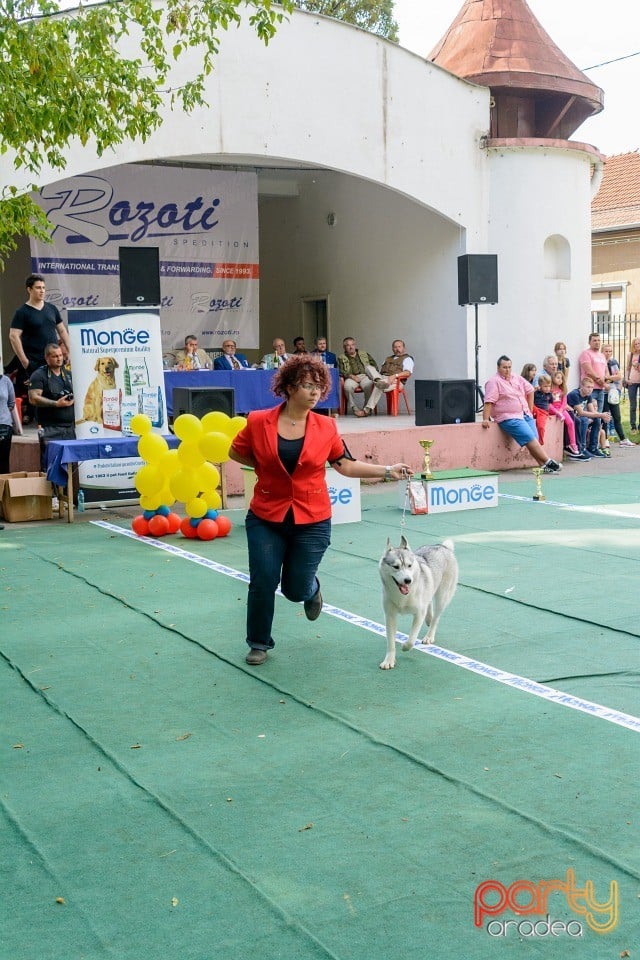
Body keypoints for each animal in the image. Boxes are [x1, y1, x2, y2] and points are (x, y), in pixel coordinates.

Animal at [378, 536, 458, 672]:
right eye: (396, 567)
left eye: (409, 565)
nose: (408, 580)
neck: (403, 597)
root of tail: (443, 547)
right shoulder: (390, 615)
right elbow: (390, 642)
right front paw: (389, 661)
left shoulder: (419, 614)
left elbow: (412, 639)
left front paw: (405, 646)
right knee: (429, 604)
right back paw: (429, 618)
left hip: (442, 597)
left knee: (436, 618)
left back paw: (429, 636)